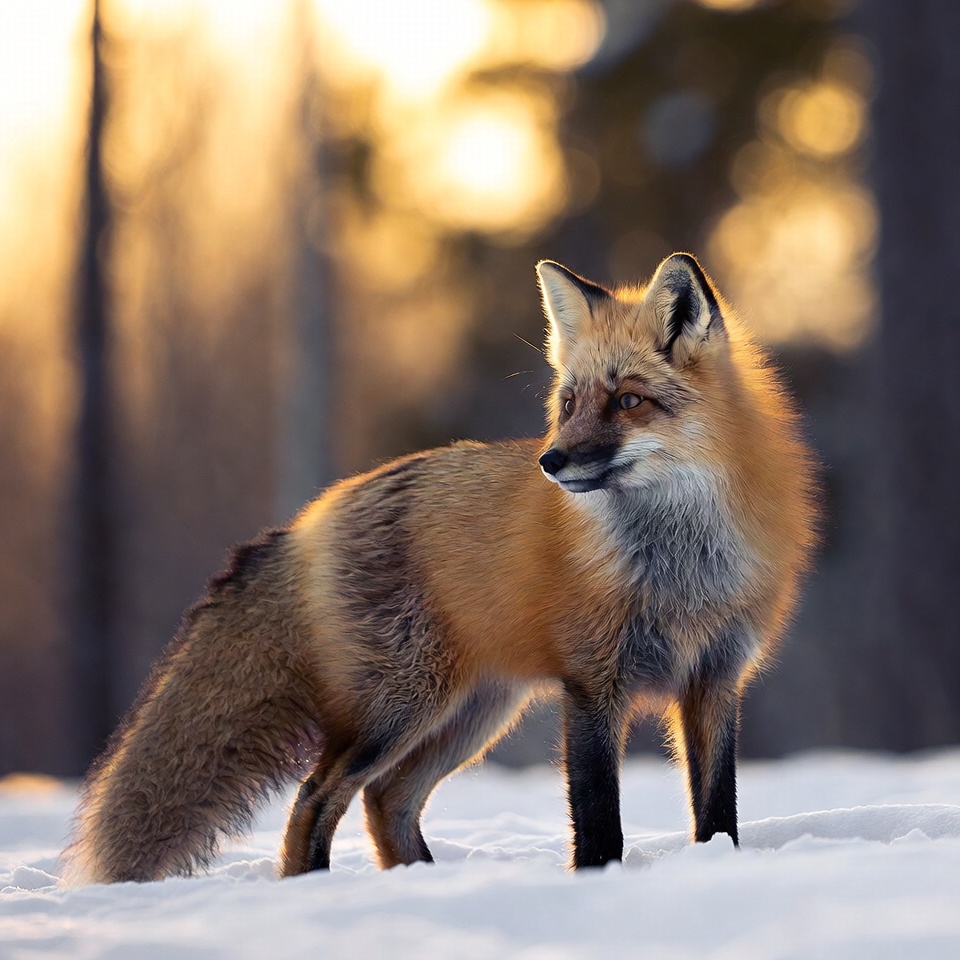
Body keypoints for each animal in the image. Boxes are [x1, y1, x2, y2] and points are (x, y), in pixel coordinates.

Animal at [62, 253, 817, 884]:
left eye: (629, 400)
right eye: (569, 402)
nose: (550, 461)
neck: (677, 566)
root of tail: (312, 516)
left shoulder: (715, 678)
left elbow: (718, 812)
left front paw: (719, 866)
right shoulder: (592, 683)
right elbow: (599, 819)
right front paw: (596, 889)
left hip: (472, 712)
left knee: (385, 800)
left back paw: (421, 883)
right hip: (401, 707)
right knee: (316, 799)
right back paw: (319, 891)